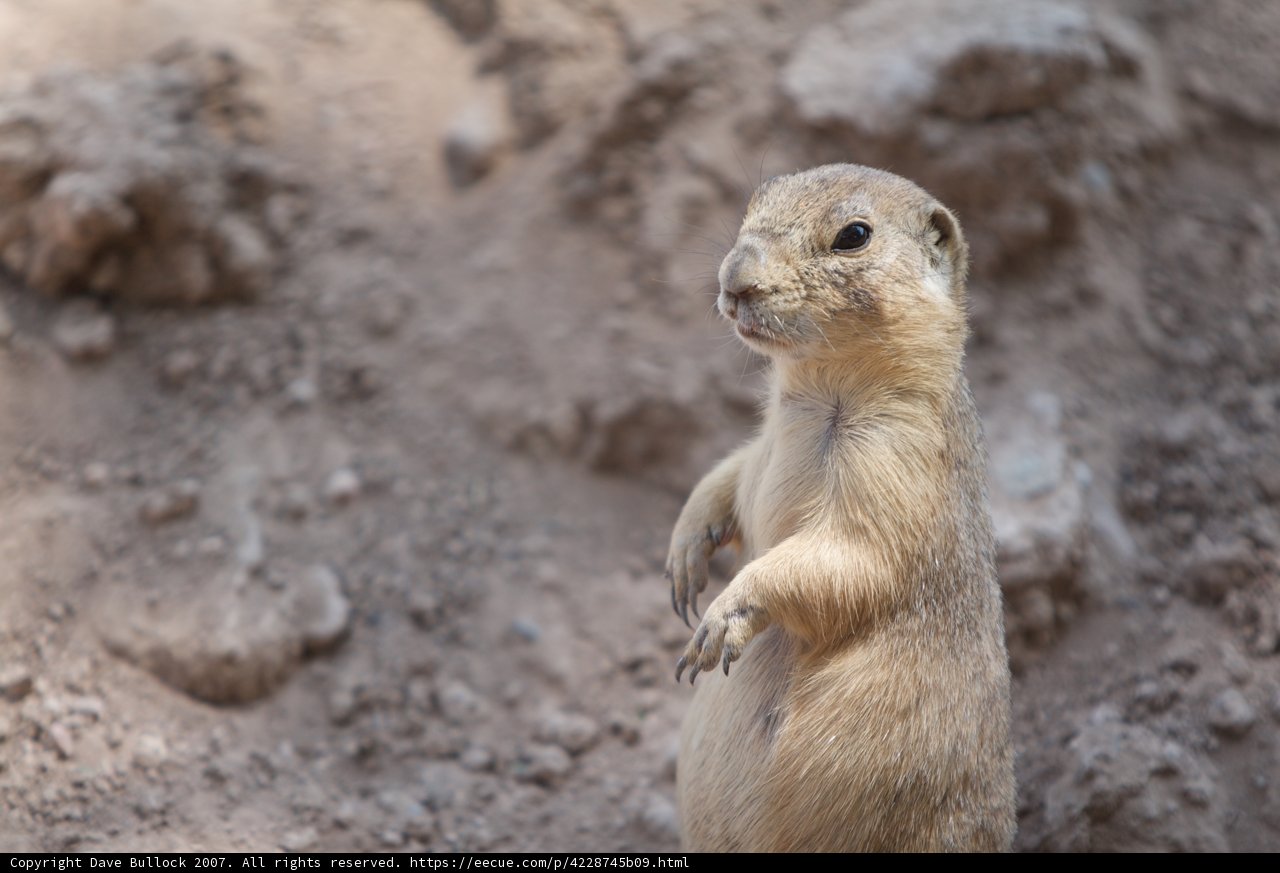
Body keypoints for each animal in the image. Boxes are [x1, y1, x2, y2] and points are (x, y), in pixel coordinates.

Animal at [665, 164, 1015, 852]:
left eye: (854, 235)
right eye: (757, 198)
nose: (733, 278)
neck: (811, 390)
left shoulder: (898, 463)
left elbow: (849, 556)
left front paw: (717, 620)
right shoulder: (761, 445)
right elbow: (728, 478)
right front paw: (685, 559)